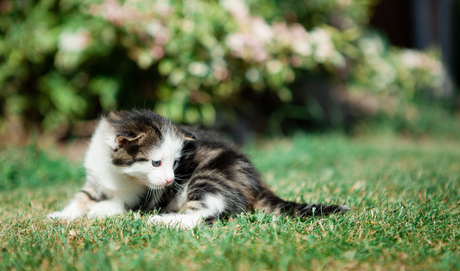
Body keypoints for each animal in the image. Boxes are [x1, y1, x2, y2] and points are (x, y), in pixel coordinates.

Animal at [47, 110, 348, 230]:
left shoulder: (144, 196)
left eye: (175, 163)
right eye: (156, 162)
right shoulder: (95, 178)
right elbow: (81, 198)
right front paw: (61, 215)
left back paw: (162, 221)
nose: (171, 180)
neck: (117, 173)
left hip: (209, 176)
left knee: (206, 212)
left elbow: (119, 204)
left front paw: (100, 210)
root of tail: (255, 181)